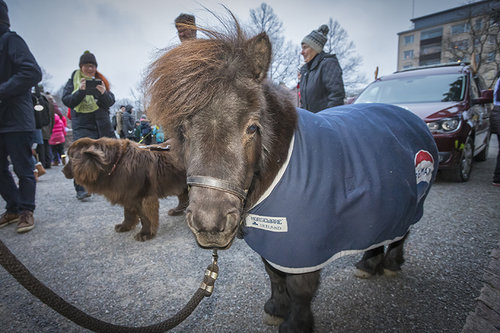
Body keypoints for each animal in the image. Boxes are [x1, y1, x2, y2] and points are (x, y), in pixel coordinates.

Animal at [145, 17, 438, 332]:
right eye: (183, 130)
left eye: (252, 127)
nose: (210, 224)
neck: (283, 165)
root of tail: (411, 117)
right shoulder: (272, 240)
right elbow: (273, 273)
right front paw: (276, 308)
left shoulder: (304, 245)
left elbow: (301, 288)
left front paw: (296, 323)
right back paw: (368, 265)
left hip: (411, 204)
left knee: (401, 234)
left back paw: (390, 264)